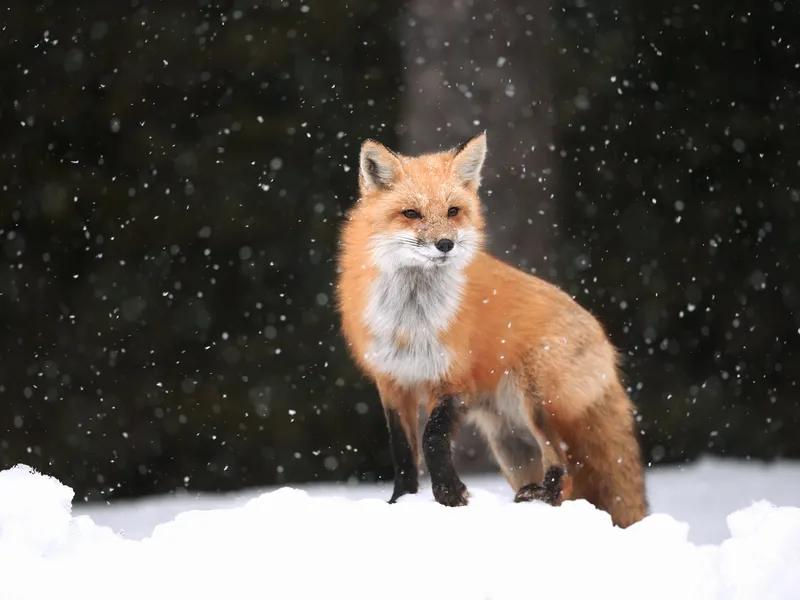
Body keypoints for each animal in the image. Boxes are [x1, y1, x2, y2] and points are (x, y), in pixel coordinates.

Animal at [334, 134, 648, 528]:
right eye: (411, 214)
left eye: (453, 211)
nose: (445, 244)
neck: (412, 322)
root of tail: (607, 345)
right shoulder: (393, 382)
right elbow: (403, 452)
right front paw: (400, 501)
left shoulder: (454, 380)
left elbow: (433, 438)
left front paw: (449, 494)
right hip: (511, 443)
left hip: (536, 403)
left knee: (564, 466)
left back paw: (542, 494)